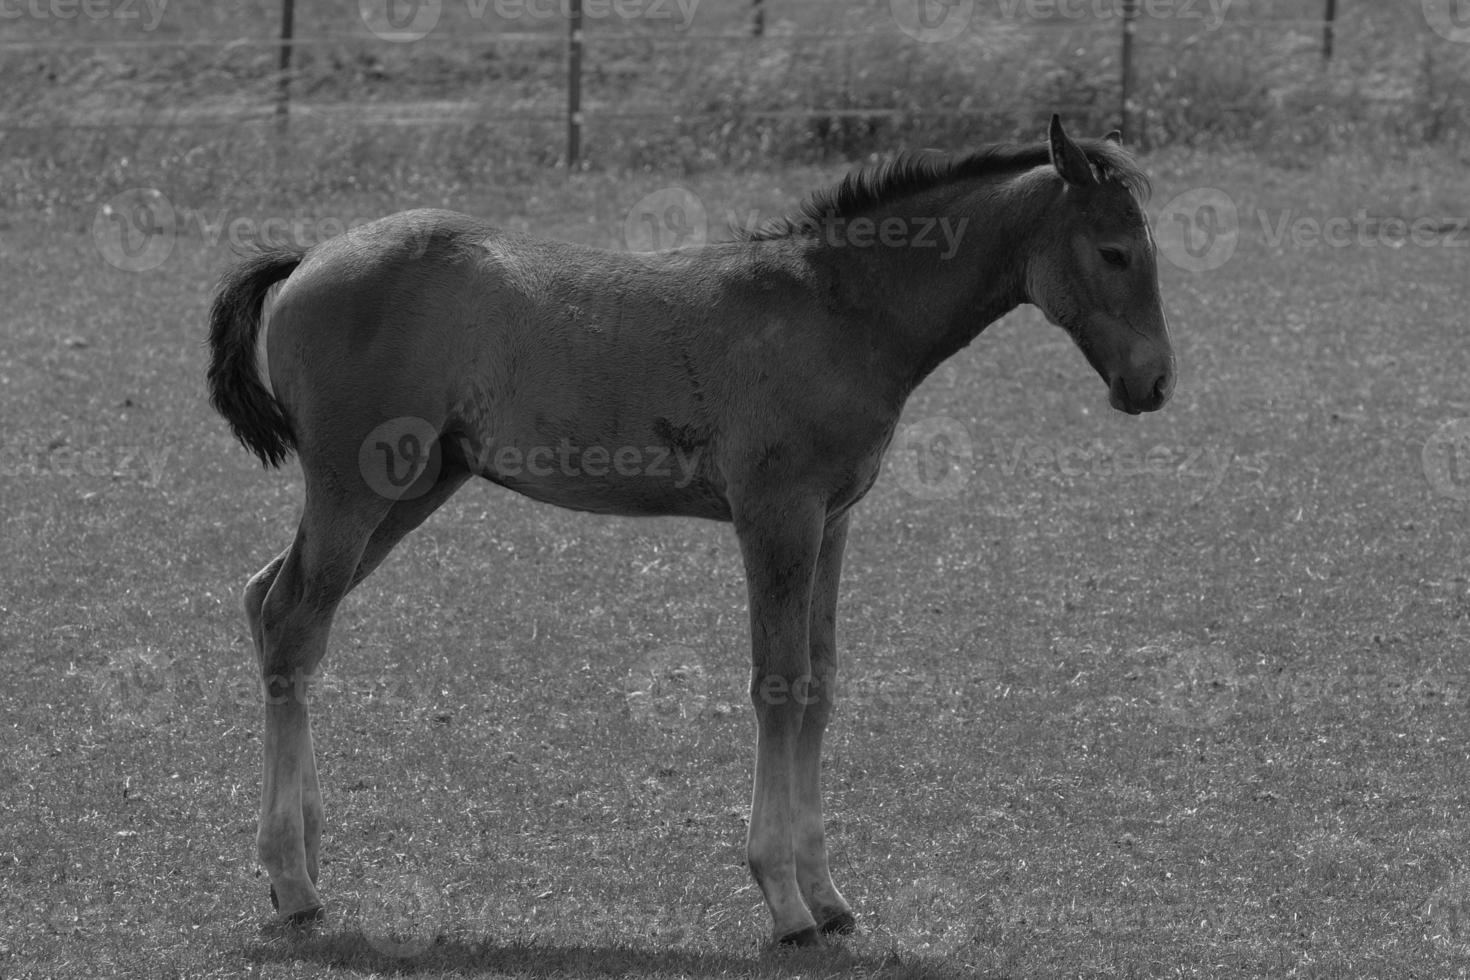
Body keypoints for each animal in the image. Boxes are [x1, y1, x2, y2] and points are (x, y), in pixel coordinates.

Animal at [204, 116, 1170, 952]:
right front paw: (784, 901)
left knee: (270, 601)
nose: (1155, 383)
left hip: (415, 487)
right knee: (294, 622)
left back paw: (301, 862)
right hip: (358, 486)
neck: (840, 309)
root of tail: (309, 258)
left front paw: (828, 894)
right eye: (1115, 252)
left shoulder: (833, 520)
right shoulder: (777, 513)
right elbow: (778, 683)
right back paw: (294, 881)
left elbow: (820, 683)